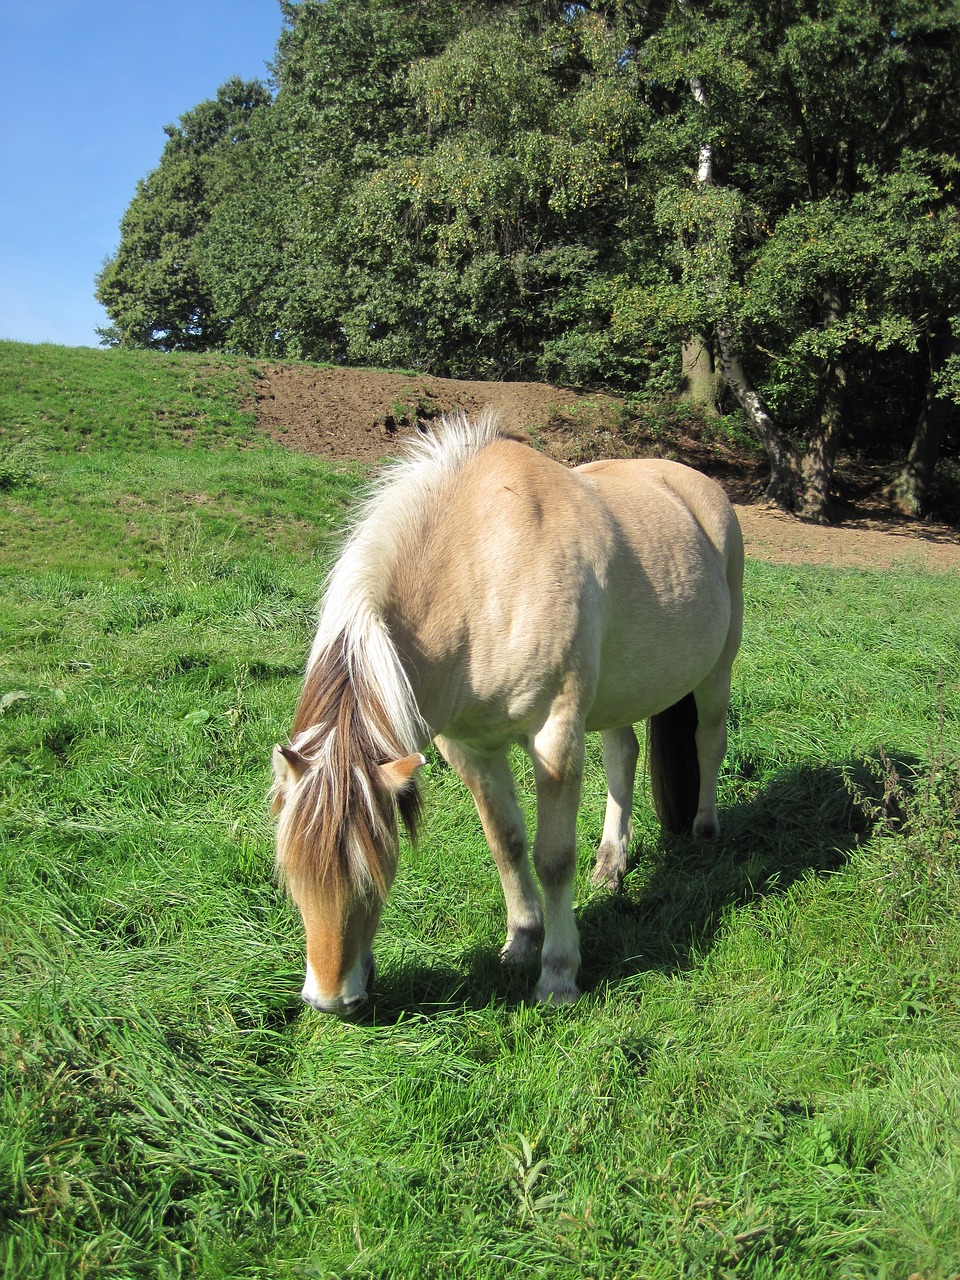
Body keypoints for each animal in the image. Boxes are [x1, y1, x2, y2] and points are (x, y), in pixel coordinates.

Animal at [271, 414, 742, 1013]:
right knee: (624, 756)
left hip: (716, 672)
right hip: (621, 692)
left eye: (374, 868)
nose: (331, 999)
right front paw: (521, 940)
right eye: (291, 873)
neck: (485, 568)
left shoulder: (556, 738)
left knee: (708, 742)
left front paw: (558, 975)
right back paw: (611, 862)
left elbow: (553, 858)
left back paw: (705, 828)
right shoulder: (469, 749)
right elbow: (507, 843)